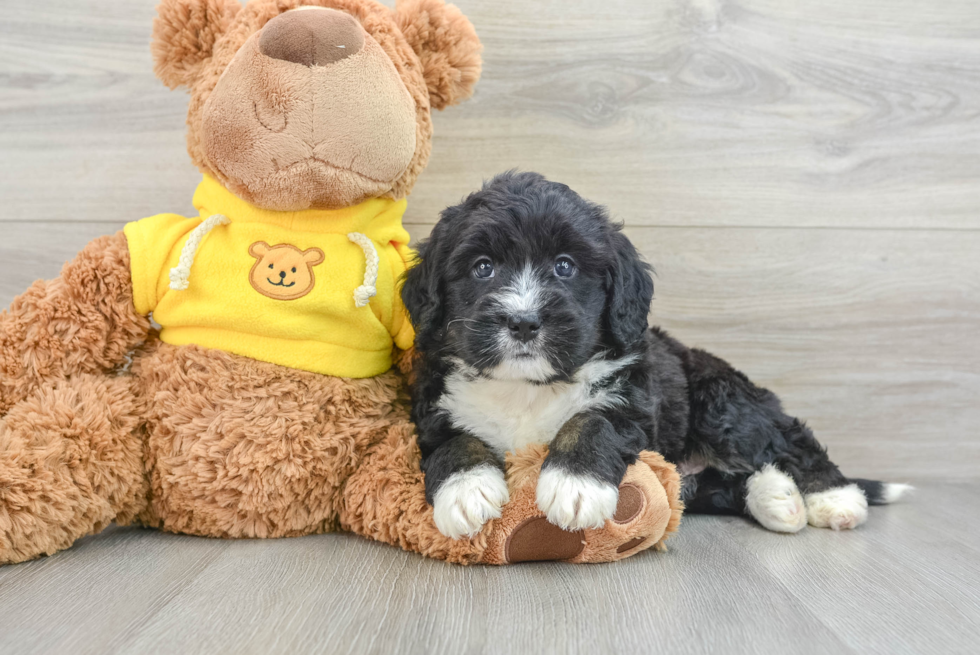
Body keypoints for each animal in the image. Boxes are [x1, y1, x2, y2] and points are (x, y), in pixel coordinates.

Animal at [400, 172, 912, 540]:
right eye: (482, 268)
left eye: (565, 266)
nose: (524, 322)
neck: (527, 388)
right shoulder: (433, 410)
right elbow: (452, 443)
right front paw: (466, 491)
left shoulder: (634, 401)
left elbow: (591, 420)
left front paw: (574, 484)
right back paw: (775, 497)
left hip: (720, 402)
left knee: (789, 437)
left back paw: (834, 498)